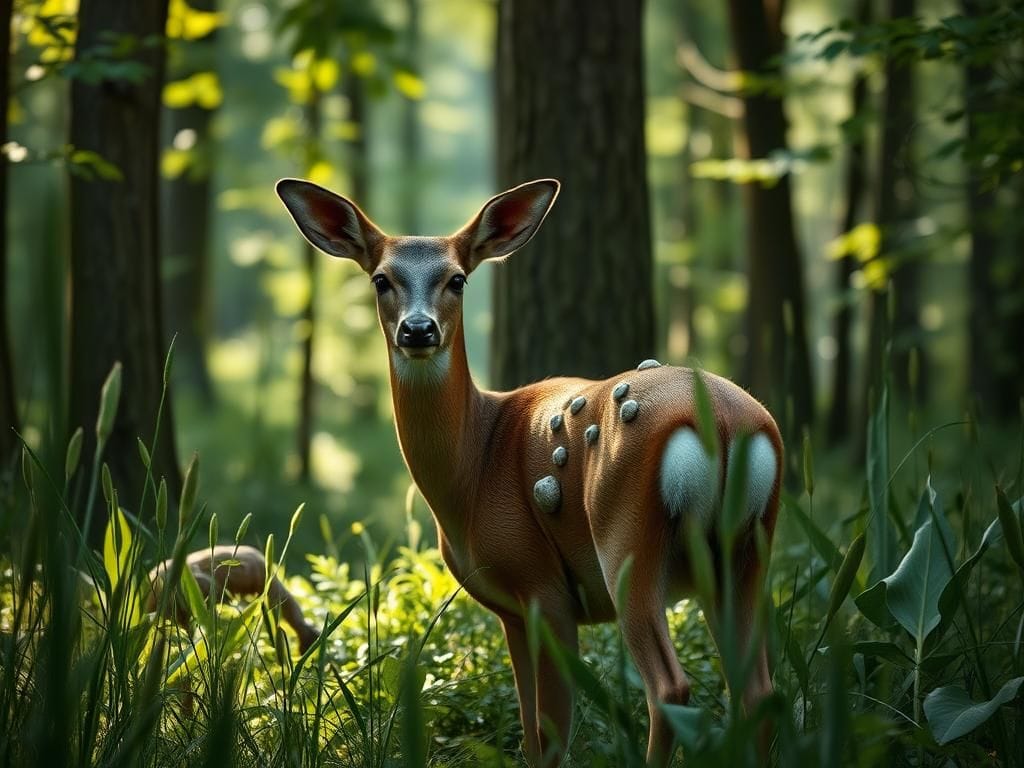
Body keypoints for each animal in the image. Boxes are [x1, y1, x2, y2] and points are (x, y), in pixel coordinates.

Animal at [276, 177, 783, 767]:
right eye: (381, 279)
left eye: (457, 279)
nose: (418, 330)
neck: (473, 464)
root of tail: (723, 420)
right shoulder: (512, 611)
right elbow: (530, 731)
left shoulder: (543, 585)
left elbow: (552, 731)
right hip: (745, 549)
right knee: (758, 689)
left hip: (626, 540)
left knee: (670, 688)